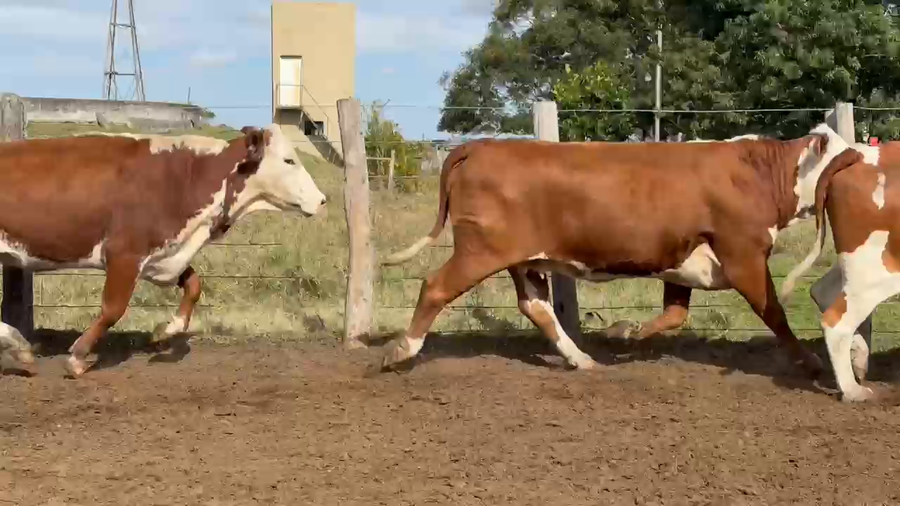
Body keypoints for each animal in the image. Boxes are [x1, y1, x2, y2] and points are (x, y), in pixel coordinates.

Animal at [0, 124, 326, 377]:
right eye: (288, 160)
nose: (322, 199)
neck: (186, 176)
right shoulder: (124, 255)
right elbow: (113, 309)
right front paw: (78, 356)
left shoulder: (165, 257)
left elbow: (194, 285)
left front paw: (166, 330)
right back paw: (19, 347)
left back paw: (20, 348)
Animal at [378, 123, 852, 376]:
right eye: (849, 157)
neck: (759, 174)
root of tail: (480, 144)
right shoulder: (744, 255)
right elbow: (775, 314)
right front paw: (810, 360)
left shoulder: (680, 260)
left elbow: (675, 314)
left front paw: (624, 332)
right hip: (480, 250)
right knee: (435, 286)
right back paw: (401, 350)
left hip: (523, 260)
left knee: (536, 306)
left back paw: (581, 358)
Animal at [780, 142, 900, 401]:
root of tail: (860, 153)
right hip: (876, 271)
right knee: (836, 322)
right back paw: (853, 390)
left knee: (823, 290)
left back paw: (858, 358)